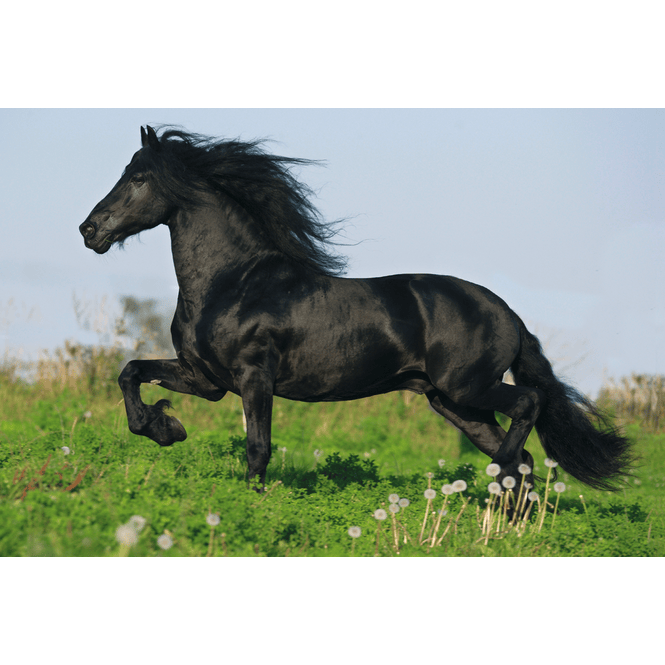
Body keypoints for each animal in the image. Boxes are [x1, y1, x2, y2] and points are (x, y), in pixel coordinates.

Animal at [80, 125, 633, 495]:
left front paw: (249, 503)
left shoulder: (255, 376)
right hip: (454, 403)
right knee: (526, 461)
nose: (90, 230)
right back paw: (503, 515)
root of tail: (509, 314)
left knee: (527, 409)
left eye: (139, 178)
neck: (234, 282)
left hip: (467, 387)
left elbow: (258, 448)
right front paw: (166, 428)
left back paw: (496, 481)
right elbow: (131, 373)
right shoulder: (206, 378)